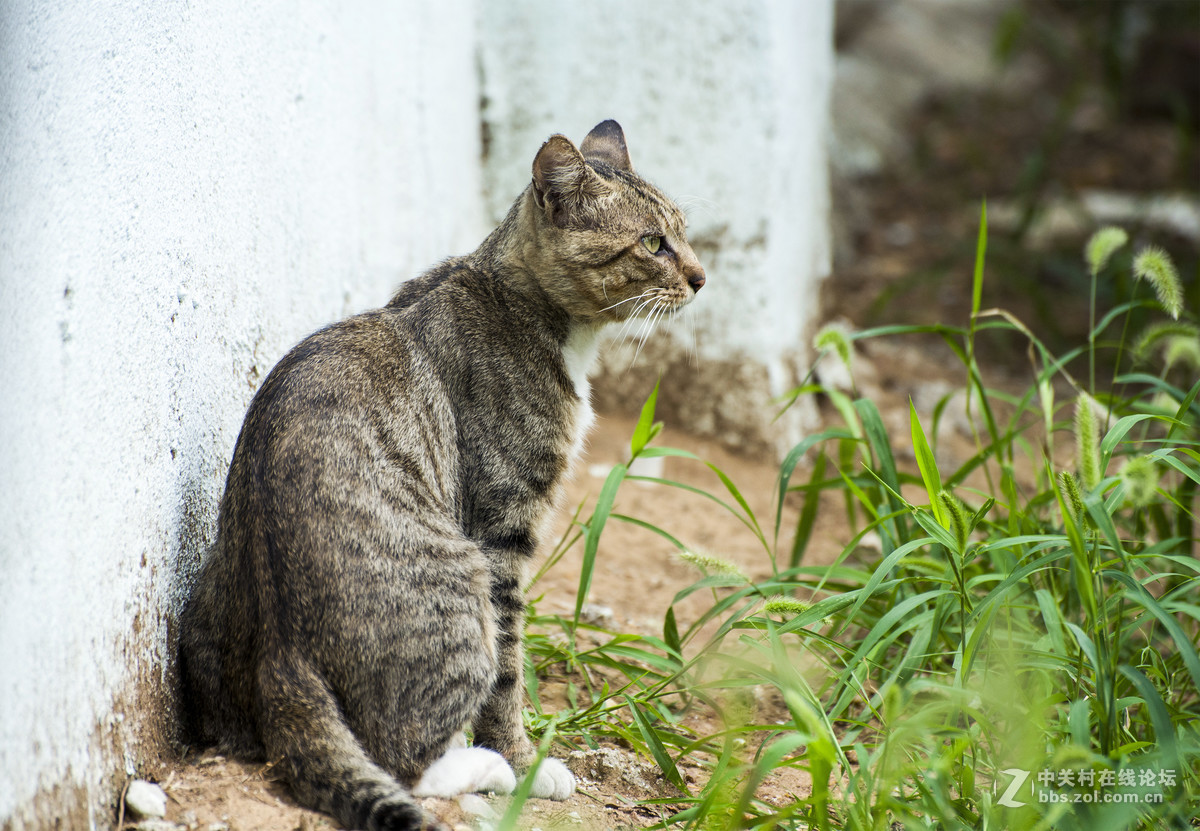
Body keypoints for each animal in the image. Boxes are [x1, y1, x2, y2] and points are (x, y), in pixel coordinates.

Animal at [178, 118, 700, 831]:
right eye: (653, 242)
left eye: (686, 232)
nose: (701, 277)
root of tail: (282, 651)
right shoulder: (503, 531)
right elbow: (509, 671)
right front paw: (525, 761)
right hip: (461, 582)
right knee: (404, 756)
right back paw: (488, 768)